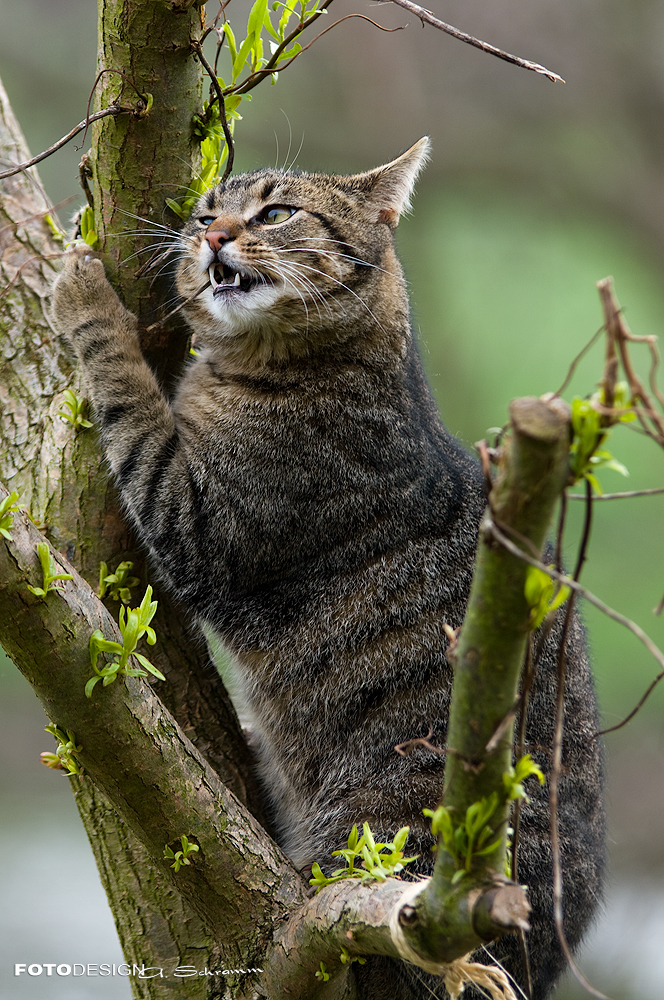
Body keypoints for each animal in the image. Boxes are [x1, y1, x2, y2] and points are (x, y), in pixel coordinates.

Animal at [49, 141, 604, 1000]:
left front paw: (85, 295)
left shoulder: (200, 521)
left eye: (275, 212)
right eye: (206, 211)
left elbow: (130, 394)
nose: (212, 236)